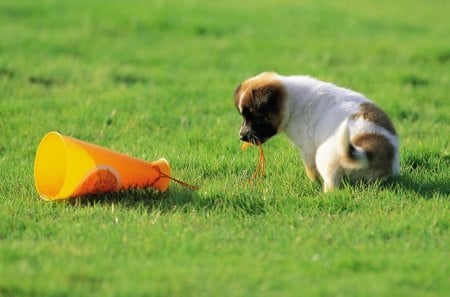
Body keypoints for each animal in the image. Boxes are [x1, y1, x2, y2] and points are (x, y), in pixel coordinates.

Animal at [234, 73, 400, 191]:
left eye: (256, 117)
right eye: (243, 116)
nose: (241, 136)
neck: (292, 103)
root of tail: (374, 150)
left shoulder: (308, 148)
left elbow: (310, 170)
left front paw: (313, 183)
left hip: (325, 156)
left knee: (332, 183)